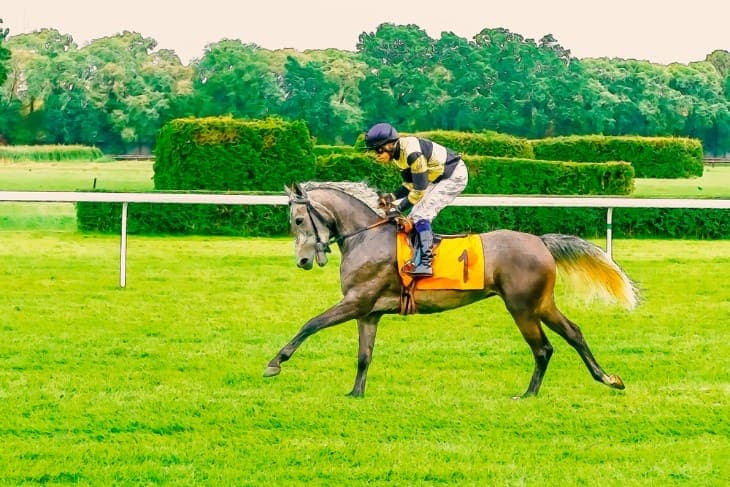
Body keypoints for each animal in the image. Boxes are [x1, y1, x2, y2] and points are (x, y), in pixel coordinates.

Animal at [263, 181, 638, 399]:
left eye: (298, 220)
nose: (303, 260)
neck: (365, 236)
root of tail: (541, 242)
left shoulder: (356, 301)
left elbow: (310, 324)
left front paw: (275, 363)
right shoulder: (369, 312)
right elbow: (364, 355)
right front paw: (356, 393)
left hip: (522, 307)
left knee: (543, 348)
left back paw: (528, 394)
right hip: (541, 303)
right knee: (573, 333)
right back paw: (608, 379)